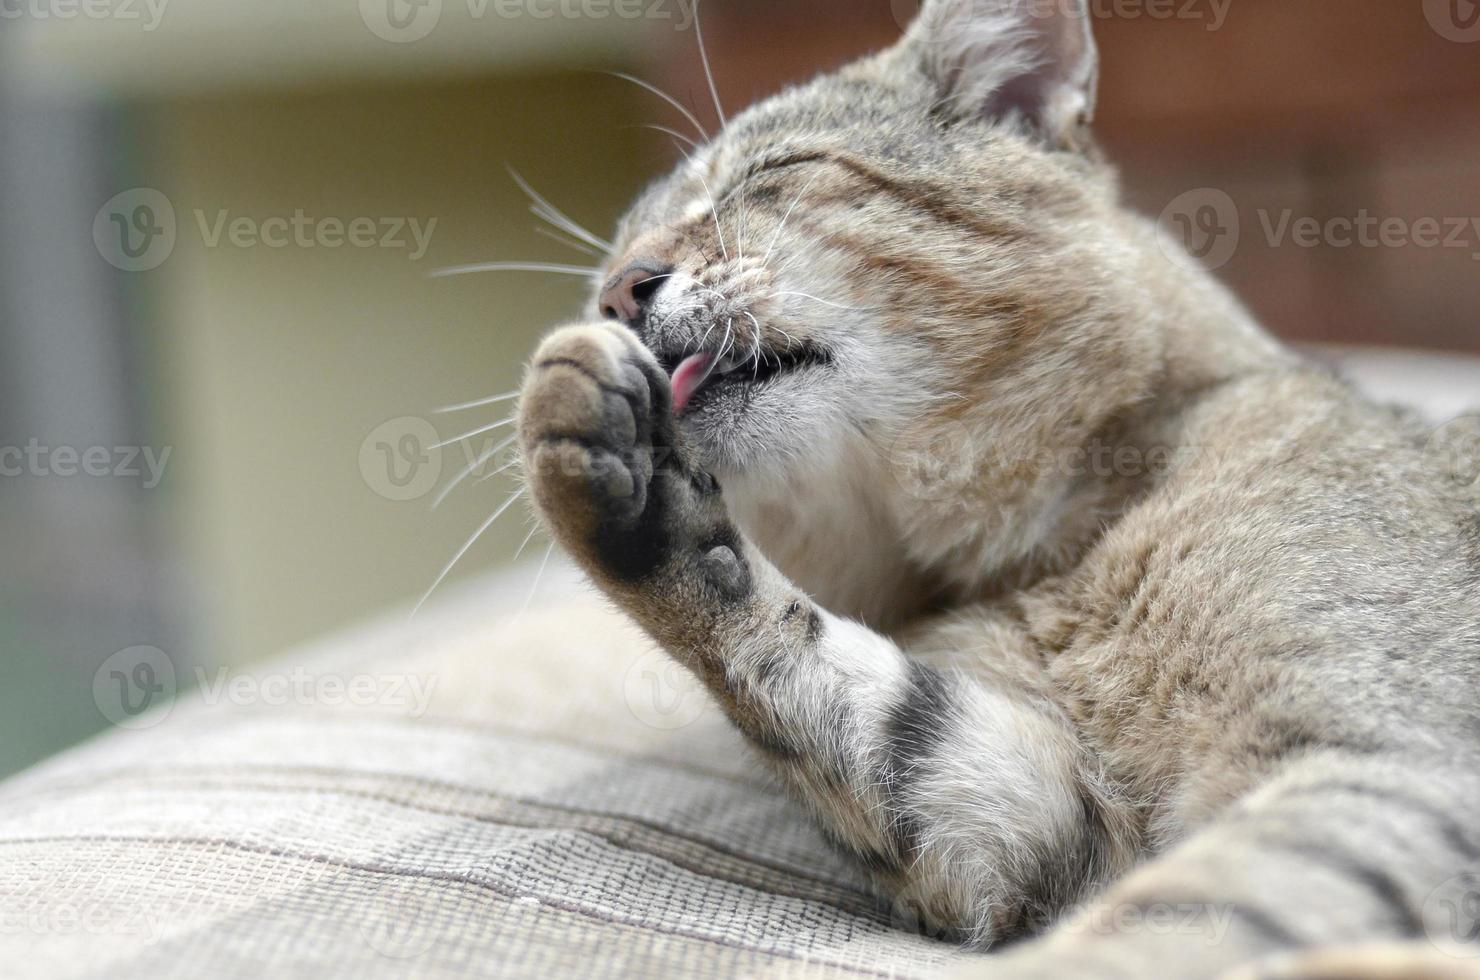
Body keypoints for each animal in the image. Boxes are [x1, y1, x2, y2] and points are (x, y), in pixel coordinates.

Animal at [512, 1, 1480, 977]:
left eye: (767, 174)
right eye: (605, 271)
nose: (616, 295)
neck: (1050, 562)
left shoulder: (1385, 759)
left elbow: (1166, 924)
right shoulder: (1028, 811)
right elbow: (817, 669)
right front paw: (596, 458)